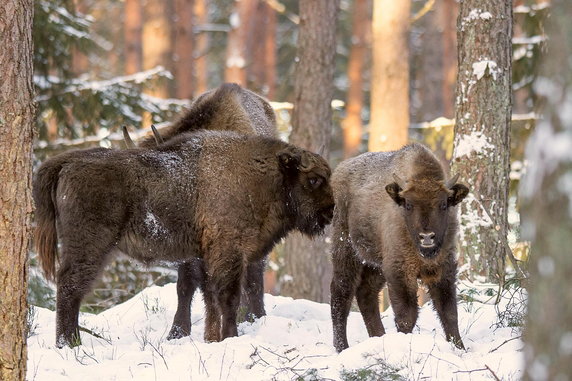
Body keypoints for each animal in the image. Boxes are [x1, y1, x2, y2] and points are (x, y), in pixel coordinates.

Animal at [32, 130, 336, 348]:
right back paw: (70, 344)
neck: (265, 175)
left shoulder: (206, 256)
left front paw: (211, 339)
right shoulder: (229, 251)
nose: (331, 210)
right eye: (313, 179)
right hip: (90, 246)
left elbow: (209, 297)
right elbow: (228, 297)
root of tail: (68, 162)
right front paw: (230, 337)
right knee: (70, 289)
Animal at [330, 142, 470, 350]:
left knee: (366, 293)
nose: (427, 237)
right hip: (346, 251)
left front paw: (460, 348)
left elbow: (449, 312)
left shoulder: (444, 270)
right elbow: (406, 314)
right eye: (408, 204)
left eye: (444, 204)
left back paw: (378, 337)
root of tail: (339, 171)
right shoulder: (400, 272)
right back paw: (342, 347)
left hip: (376, 265)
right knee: (341, 293)